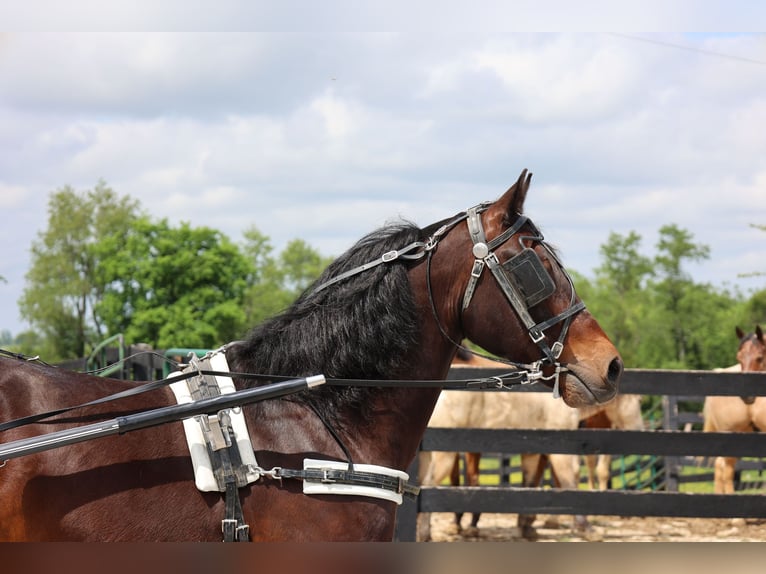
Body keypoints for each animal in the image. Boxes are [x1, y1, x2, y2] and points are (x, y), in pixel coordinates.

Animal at [420, 348, 640, 544]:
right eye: (636, 402)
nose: (639, 427)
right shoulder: (560, 451)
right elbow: (569, 481)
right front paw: (585, 528)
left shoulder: (533, 451)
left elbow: (531, 483)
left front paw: (526, 526)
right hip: (445, 456)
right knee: (428, 484)